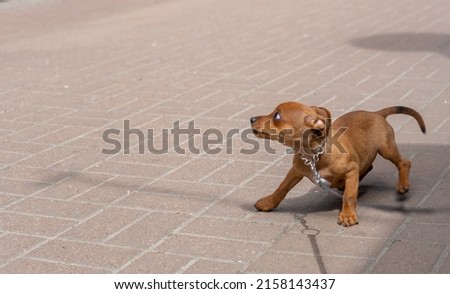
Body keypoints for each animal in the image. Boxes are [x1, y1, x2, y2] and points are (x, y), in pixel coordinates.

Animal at [250, 102, 426, 226]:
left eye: (277, 116)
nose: (251, 118)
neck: (314, 155)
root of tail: (376, 113)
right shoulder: (295, 171)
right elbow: (282, 188)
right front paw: (269, 202)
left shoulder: (351, 170)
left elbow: (349, 195)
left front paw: (347, 215)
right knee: (368, 166)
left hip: (386, 148)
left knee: (404, 162)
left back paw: (402, 184)